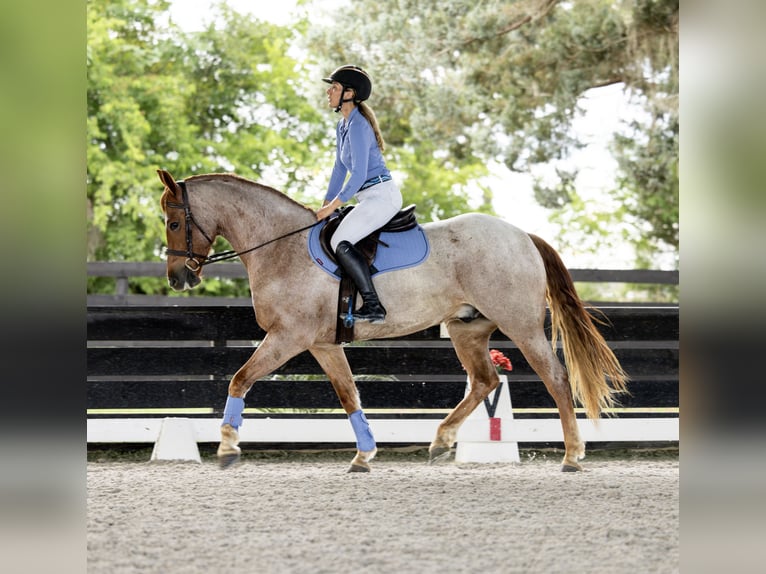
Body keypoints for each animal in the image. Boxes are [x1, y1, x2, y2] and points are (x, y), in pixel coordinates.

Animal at [157, 169, 628, 472]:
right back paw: (441, 441)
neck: (280, 247)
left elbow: (240, 380)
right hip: (467, 329)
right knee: (485, 381)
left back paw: (572, 455)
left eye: (175, 222)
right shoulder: (322, 344)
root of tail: (521, 235)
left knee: (556, 378)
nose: (179, 278)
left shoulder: (287, 337)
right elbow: (349, 396)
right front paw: (364, 456)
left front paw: (226, 447)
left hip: (522, 327)